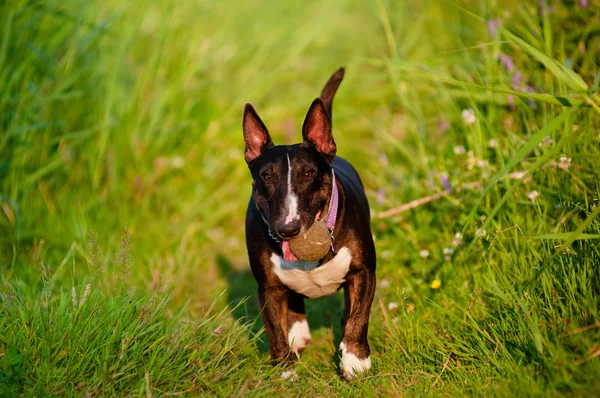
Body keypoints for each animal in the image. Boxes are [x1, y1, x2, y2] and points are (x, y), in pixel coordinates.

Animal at [243, 68, 376, 380]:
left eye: (308, 173)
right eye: (266, 176)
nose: (287, 229)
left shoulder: (364, 270)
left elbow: (360, 314)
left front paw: (355, 359)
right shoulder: (267, 286)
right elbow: (273, 328)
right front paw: (284, 370)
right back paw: (298, 332)